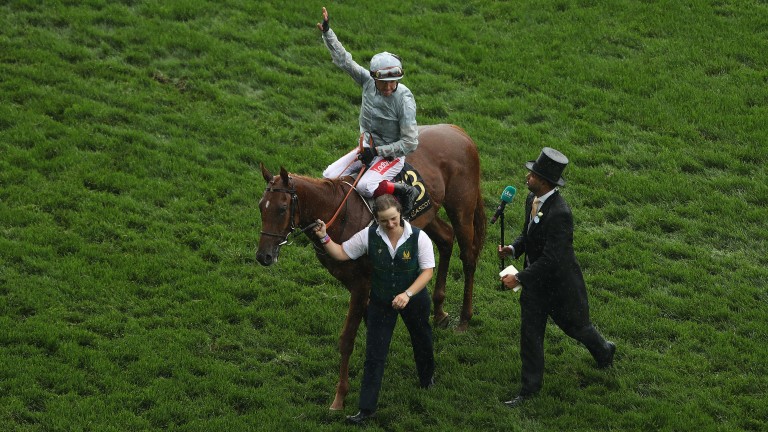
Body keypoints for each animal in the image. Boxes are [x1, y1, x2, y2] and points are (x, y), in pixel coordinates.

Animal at [258, 123, 486, 410]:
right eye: (261, 207)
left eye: (281, 209)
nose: (263, 256)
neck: (339, 215)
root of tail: (457, 130)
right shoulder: (353, 282)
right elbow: (371, 326)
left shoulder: (361, 283)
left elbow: (347, 338)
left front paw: (340, 397)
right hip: (430, 214)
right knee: (445, 239)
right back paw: (440, 312)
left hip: (461, 207)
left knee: (468, 257)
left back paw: (464, 319)